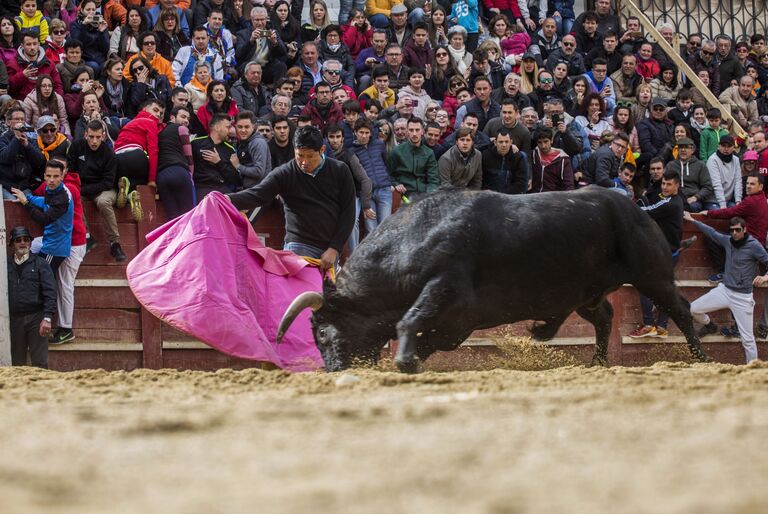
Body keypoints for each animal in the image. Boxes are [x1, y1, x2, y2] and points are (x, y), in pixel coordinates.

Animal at [276, 186, 708, 370]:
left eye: (323, 332)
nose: (333, 369)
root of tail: (636, 209)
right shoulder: (459, 321)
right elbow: (428, 337)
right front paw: (410, 359)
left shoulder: (445, 286)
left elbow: (410, 320)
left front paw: (403, 360)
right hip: (587, 291)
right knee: (604, 317)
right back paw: (594, 361)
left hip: (652, 274)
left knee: (681, 309)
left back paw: (701, 358)